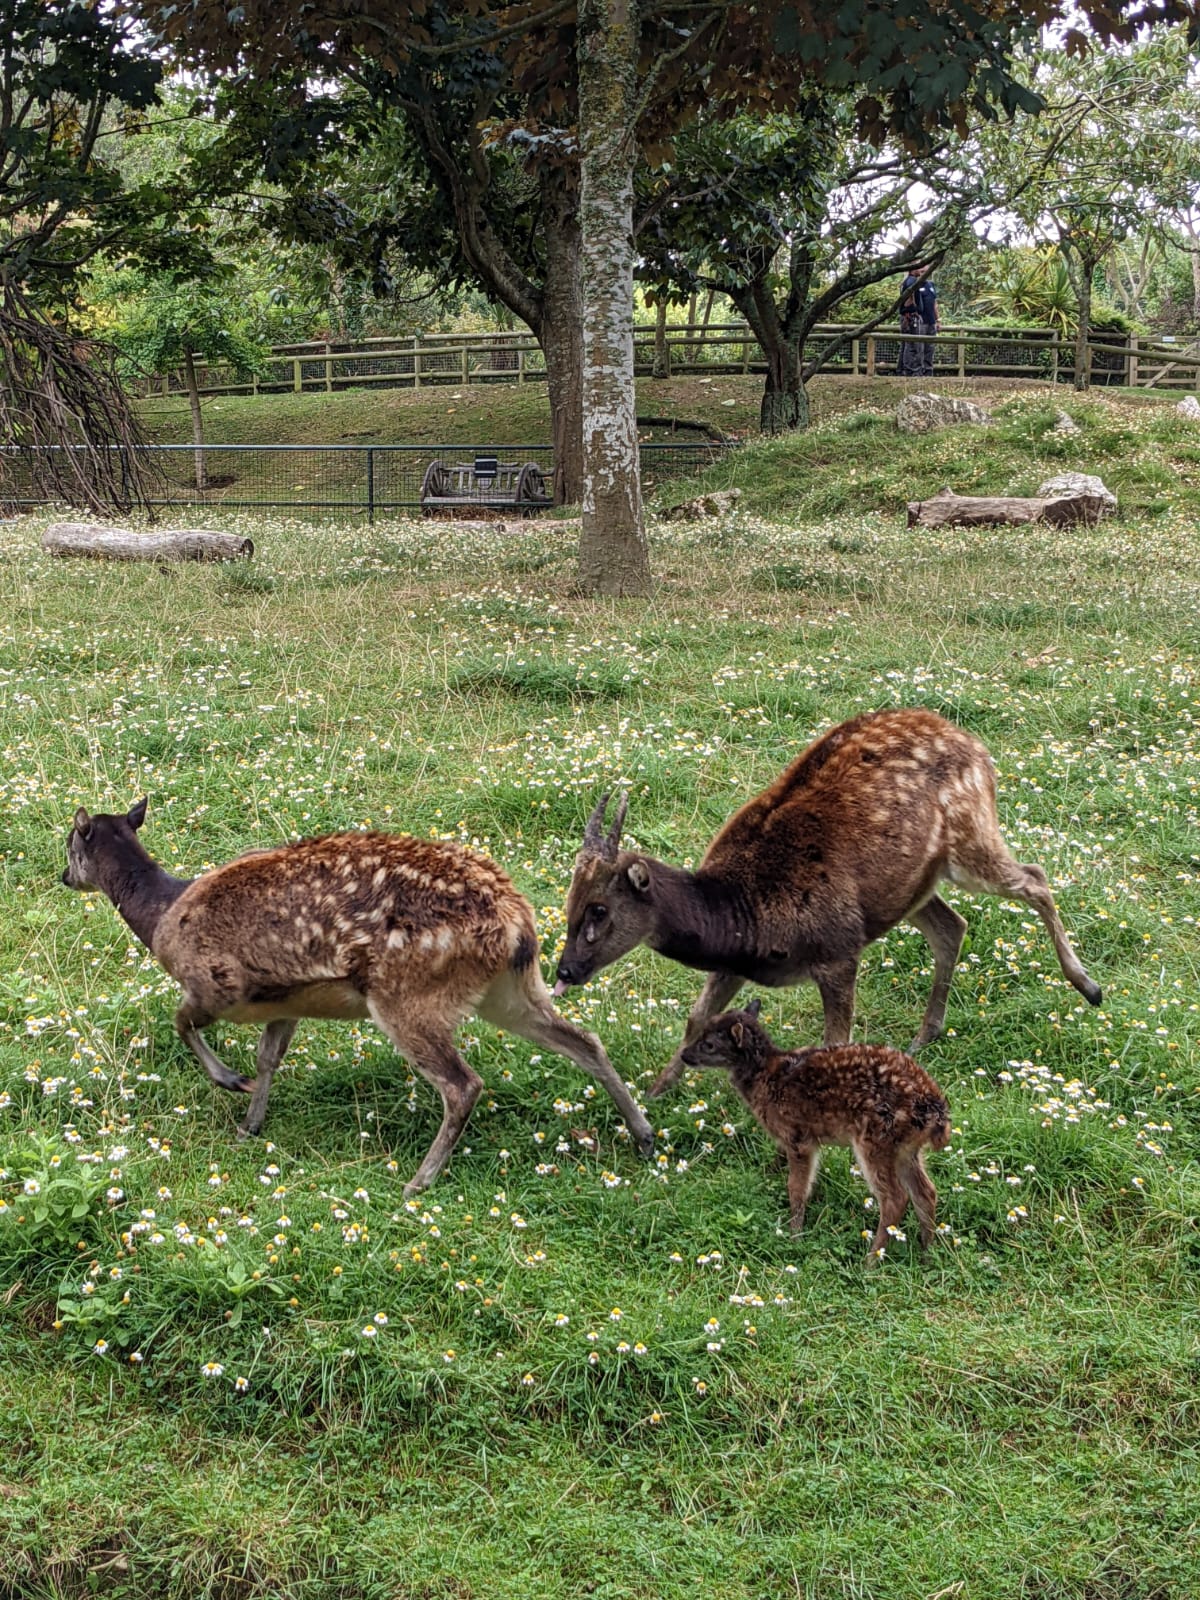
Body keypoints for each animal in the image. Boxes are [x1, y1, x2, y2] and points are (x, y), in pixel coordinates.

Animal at [65, 800, 659, 1190]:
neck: (162, 916)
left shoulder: (214, 982)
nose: (63, 877)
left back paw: (419, 1181)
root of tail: (518, 924)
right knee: (585, 1040)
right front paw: (250, 1124)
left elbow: (181, 1023)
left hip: (407, 995)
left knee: (463, 1084)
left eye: (70, 843)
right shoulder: (287, 1001)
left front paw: (229, 1082)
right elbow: (269, 1056)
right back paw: (644, 1134)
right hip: (514, 989)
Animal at [560, 707, 1107, 1094]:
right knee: (953, 925)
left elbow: (834, 1042)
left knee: (1035, 878)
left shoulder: (839, 949)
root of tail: (977, 746)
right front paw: (655, 1096)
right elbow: (696, 1017)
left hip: (971, 835)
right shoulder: (735, 963)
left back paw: (1089, 986)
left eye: (599, 909)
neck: (744, 917)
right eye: (568, 903)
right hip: (913, 886)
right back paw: (925, 1034)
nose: (565, 970)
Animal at [681, 998, 953, 1260]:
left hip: (877, 1139)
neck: (766, 1076)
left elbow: (797, 1188)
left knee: (895, 1198)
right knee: (926, 1192)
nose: (684, 1054)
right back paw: (926, 1253)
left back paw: (871, 1260)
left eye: (709, 1044)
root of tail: (937, 1110)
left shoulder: (799, 1137)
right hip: (906, 1148)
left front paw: (794, 1235)